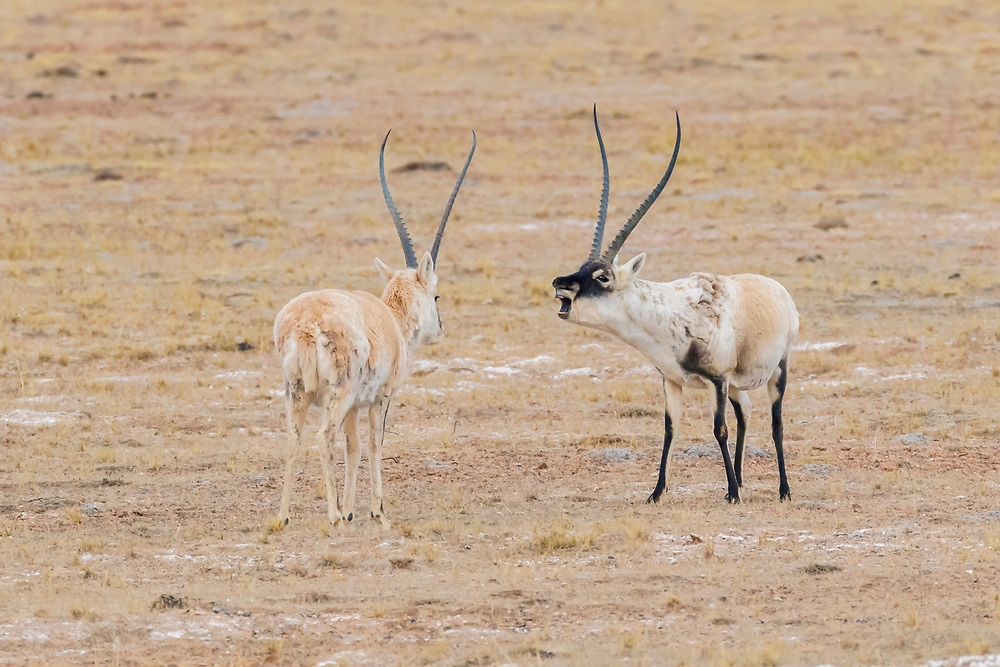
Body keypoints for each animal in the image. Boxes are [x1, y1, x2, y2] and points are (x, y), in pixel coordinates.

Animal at [274, 129, 476, 528]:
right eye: (436, 295)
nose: (440, 330)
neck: (391, 318)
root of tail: (306, 322)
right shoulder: (380, 398)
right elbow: (374, 443)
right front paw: (375, 512)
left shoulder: (355, 406)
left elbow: (353, 447)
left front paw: (352, 510)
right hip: (337, 394)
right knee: (322, 437)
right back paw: (332, 517)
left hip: (297, 393)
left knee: (293, 439)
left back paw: (284, 518)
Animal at [552, 108, 800, 506]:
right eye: (583, 267)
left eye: (603, 277)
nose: (561, 282)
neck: (668, 312)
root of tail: (779, 291)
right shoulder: (671, 379)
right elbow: (671, 429)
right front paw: (657, 493)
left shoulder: (717, 380)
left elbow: (718, 430)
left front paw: (732, 494)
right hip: (737, 384)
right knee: (746, 413)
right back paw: (741, 479)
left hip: (777, 369)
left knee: (775, 423)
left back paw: (782, 489)